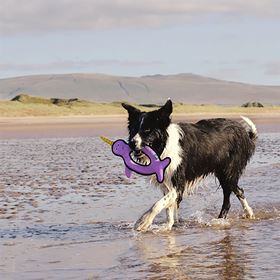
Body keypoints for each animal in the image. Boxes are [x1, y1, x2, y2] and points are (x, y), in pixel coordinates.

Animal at [121, 99, 258, 231]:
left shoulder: (178, 184)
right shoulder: (167, 183)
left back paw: (247, 213)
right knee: (231, 195)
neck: (163, 146)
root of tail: (245, 133)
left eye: (147, 130)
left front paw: (143, 221)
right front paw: (167, 226)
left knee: (238, 191)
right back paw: (222, 219)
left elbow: (158, 204)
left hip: (228, 172)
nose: (132, 143)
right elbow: (167, 208)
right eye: (133, 130)